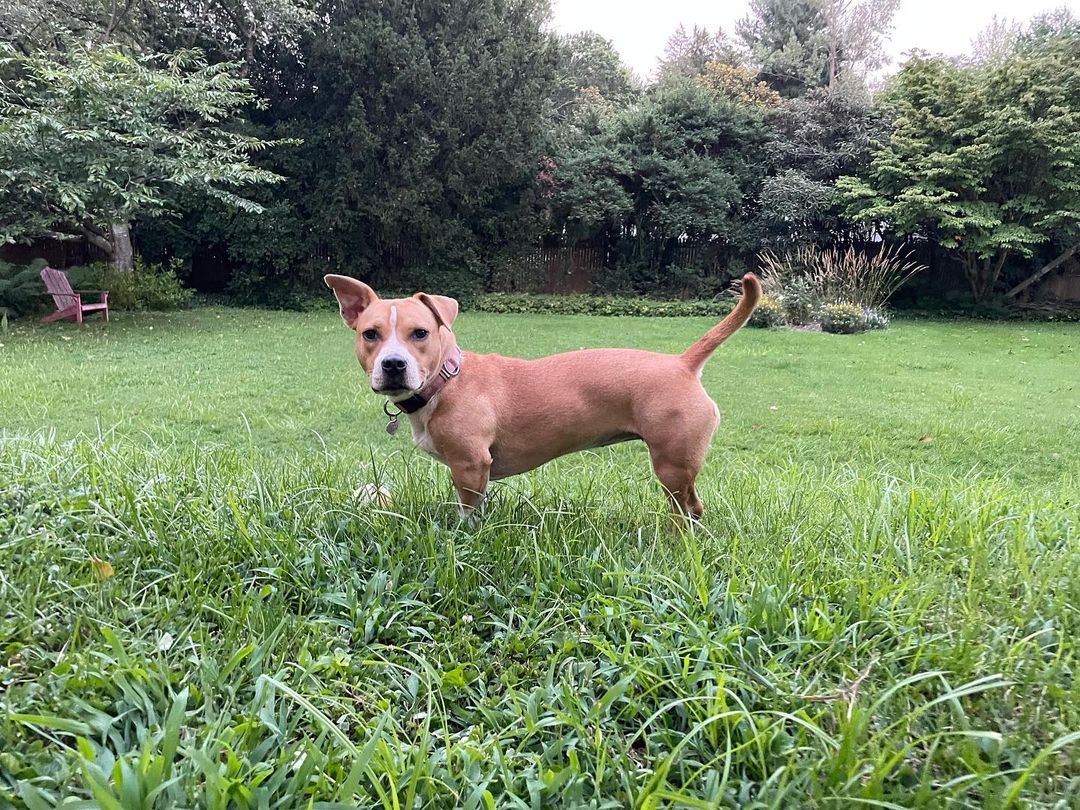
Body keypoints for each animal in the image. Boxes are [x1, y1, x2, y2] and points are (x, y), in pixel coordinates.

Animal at [326, 276, 760, 522]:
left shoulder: (470, 466)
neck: (447, 381)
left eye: (420, 333)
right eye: (369, 334)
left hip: (673, 466)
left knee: (691, 508)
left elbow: (468, 513)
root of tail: (682, 363)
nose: (393, 364)